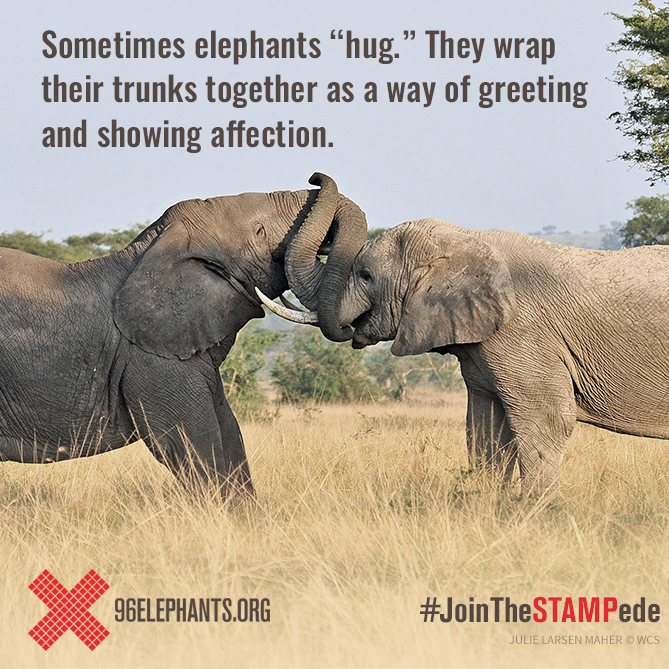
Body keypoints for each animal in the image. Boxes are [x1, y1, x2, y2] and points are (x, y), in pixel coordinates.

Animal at [0, 173, 367, 498]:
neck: (154, 246)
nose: (315, 177)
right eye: (260, 231)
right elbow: (192, 440)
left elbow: (229, 431)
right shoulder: (149, 360)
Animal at [260, 217, 669, 493]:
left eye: (365, 276)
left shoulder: (524, 333)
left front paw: (533, 515)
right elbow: (485, 425)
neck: (464, 240)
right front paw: (488, 506)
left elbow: (550, 419)